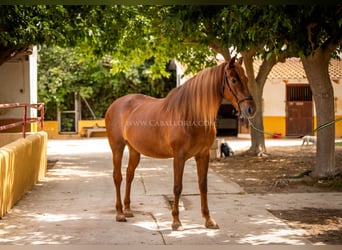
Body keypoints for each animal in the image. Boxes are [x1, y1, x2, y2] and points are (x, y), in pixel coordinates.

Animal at [105, 56, 255, 230]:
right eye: (234, 80)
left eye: (246, 79)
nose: (251, 109)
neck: (190, 114)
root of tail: (115, 104)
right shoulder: (179, 156)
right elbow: (177, 187)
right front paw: (176, 221)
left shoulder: (203, 155)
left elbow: (203, 185)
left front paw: (208, 219)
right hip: (117, 148)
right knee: (118, 177)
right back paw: (119, 213)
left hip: (134, 150)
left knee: (129, 175)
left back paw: (128, 210)